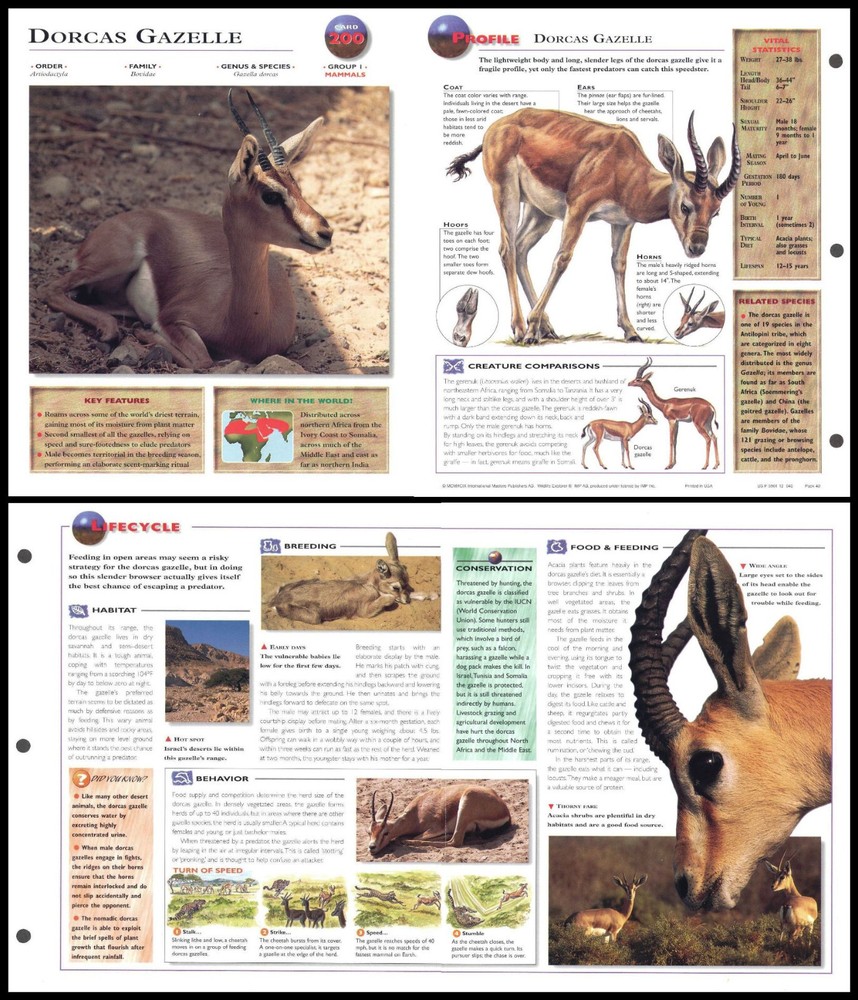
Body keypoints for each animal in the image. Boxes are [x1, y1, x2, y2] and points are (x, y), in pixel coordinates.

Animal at [43, 90, 333, 370]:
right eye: (270, 196)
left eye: (298, 189)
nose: (325, 232)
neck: (241, 322)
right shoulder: (172, 319)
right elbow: (203, 361)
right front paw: (146, 334)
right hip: (114, 261)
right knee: (52, 288)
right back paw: (111, 329)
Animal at [269, 532, 438, 624]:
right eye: (395, 587)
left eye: (407, 583)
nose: (407, 601)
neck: (370, 584)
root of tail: (277, 599)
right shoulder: (365, 611)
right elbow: (390, 598)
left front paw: (431, 595)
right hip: (315, 617)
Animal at [367, 784, 511, 857]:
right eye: (369, 832)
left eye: (386, 832)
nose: (372, 847)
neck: (417, 812)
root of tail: (506, 812)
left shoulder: (437, 827)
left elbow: (418, 837)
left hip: (466, 802)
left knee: (455, 841)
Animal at [447, 110, 739, 343]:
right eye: (685, 206)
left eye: (716, 212)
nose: (696, 248)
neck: (625, 169)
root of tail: (494, 128)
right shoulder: (579, 208)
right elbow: (562, 259)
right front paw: (530, 332)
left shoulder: (622, 223)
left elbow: (619, 265)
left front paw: (631, 331)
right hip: (506, 194)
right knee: (507, 249)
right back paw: (521, 329)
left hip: (540, 212)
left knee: (520, 249)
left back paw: (546, 328)